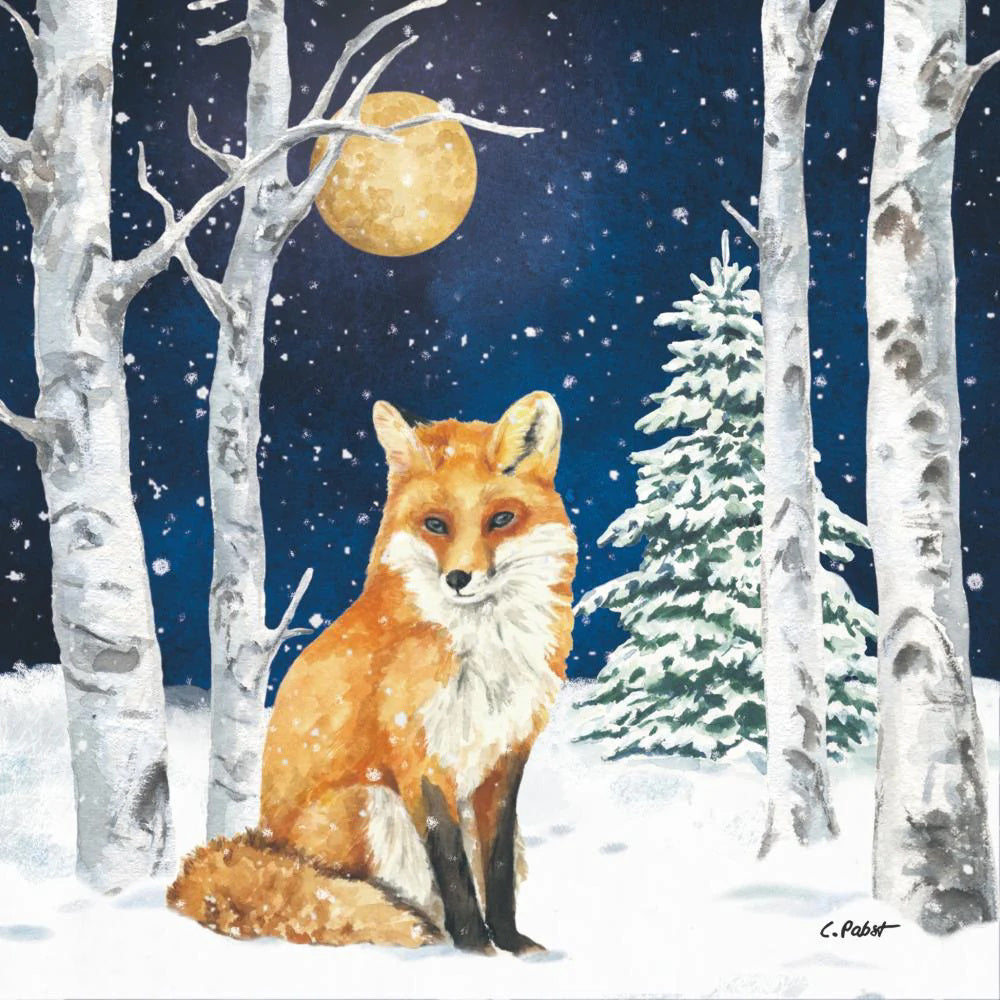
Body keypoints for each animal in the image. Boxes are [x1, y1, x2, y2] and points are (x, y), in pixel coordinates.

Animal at [168, 391, 577, 953]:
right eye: (435, 524)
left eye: (501, 519)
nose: (459, 578)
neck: (481, 651)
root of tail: (262, 844)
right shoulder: (418, 754)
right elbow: (452, 864)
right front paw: (476, 950)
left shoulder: (506, 753)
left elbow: (493, 868)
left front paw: (514, 946)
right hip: (370, 802)